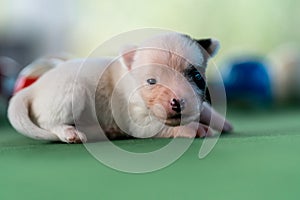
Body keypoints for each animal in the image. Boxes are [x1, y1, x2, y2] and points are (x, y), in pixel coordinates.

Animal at [7, 32, 232, 142]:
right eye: (151, 81)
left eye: (196, 76)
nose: (177, 103)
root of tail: (32, 89)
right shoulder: (136, 120)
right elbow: (161, 126)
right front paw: (196, 128)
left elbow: (204, 109)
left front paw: (222, 122)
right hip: (70, 94)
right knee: (50, 122)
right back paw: (70, 133)